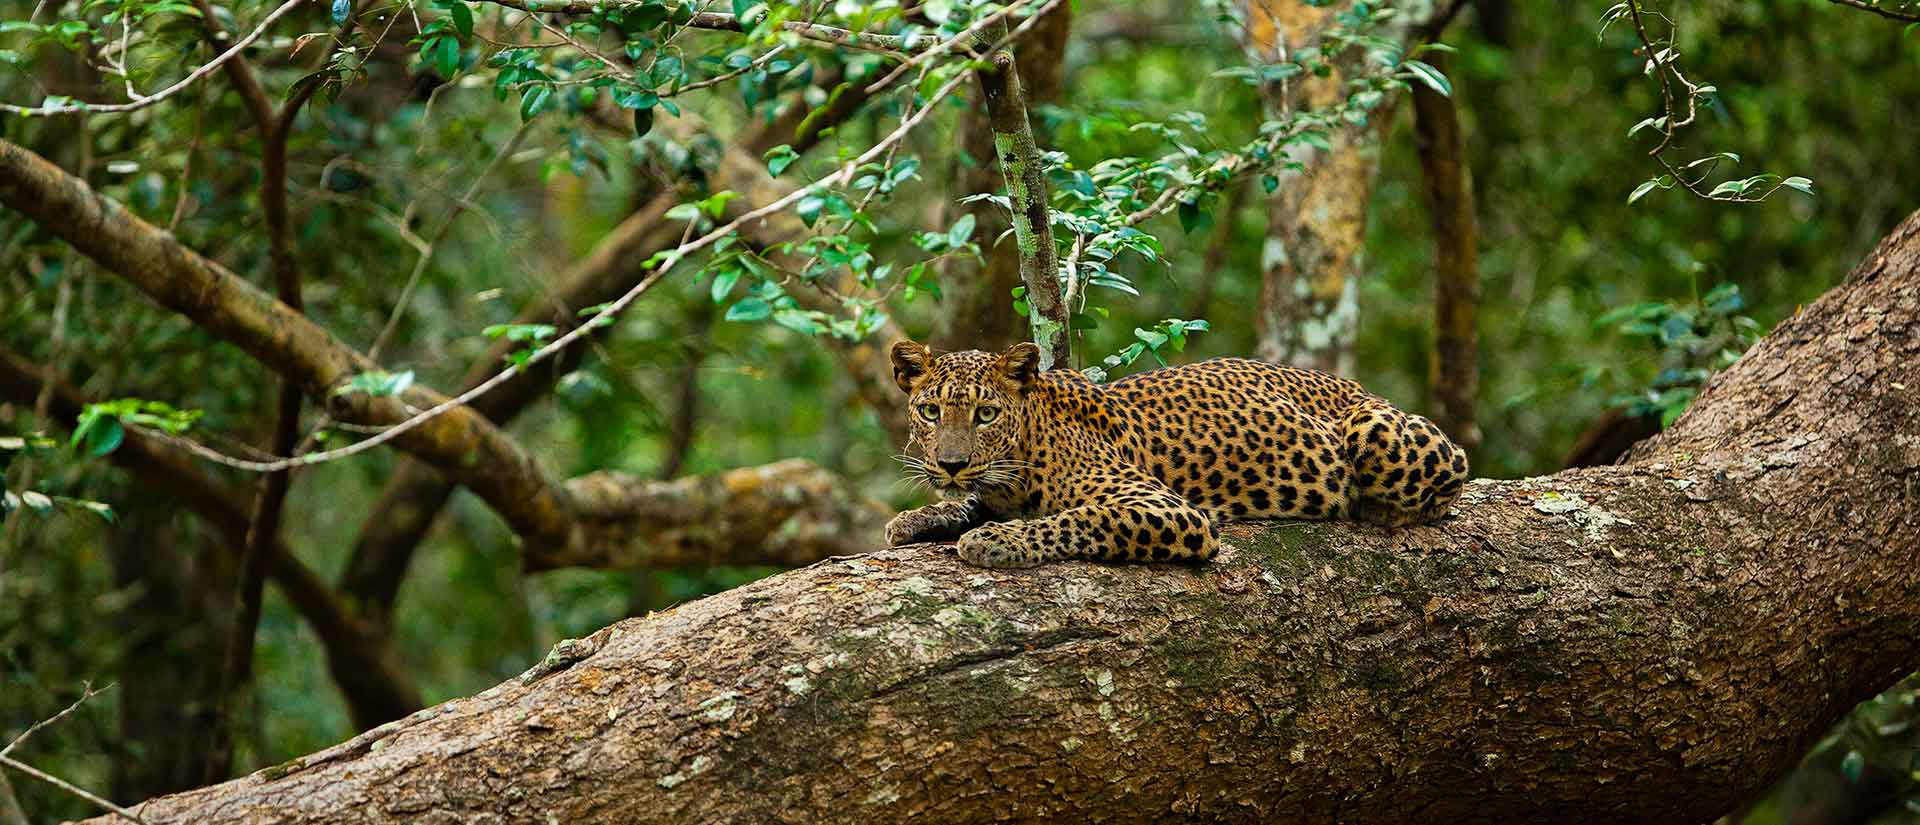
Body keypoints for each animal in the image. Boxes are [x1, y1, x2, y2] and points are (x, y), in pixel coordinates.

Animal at [883, 340, 1469, 568]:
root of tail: (1355, 385)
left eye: (986, 414)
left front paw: (997, 540)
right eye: (930, 411)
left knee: (1453, 477)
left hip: (1379, 434)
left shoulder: (1167, 509)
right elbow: (967, 502)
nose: (951, 464)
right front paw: (918, 518)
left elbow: (1077, 519)